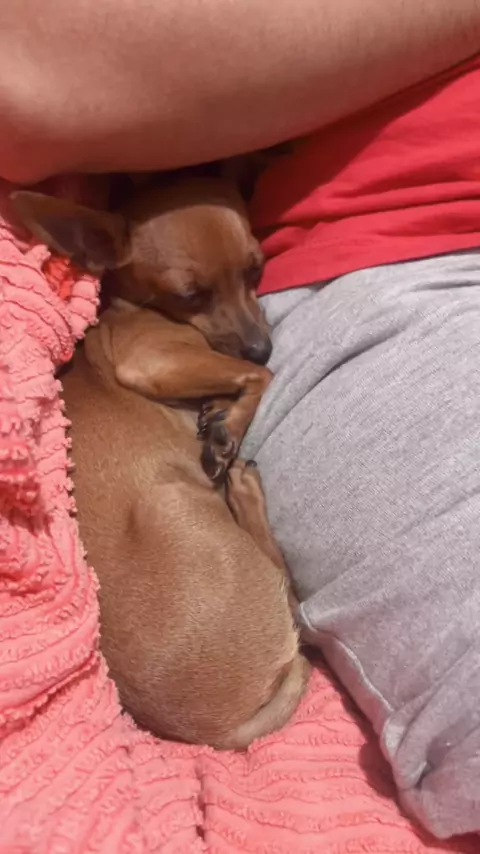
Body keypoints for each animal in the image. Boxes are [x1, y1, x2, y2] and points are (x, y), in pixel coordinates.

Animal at [11, 179, 309, 749]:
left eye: (256, 269)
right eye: (188, 295)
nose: (262, 345)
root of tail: (219, 733)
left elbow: (248, 377)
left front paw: (222, 415)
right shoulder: (152, 359)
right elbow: (258, 378)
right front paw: (228, 428)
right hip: (174, 501)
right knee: (290, 592)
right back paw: (244, 488)